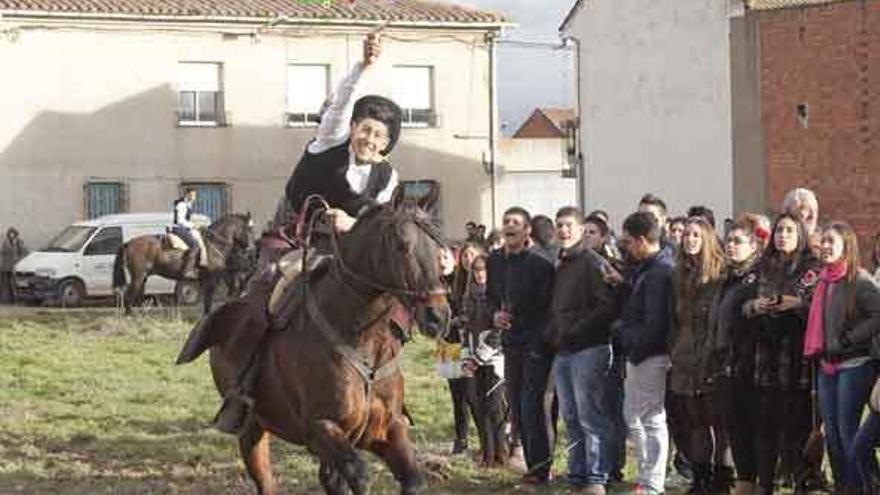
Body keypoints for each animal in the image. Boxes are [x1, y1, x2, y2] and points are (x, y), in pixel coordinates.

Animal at [111, 212, 253, 314]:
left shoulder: (206, 280)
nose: (251, 248)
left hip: (142, 279)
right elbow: (208, 303)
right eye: (249, 229)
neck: (214, 244)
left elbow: (207, 302)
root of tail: (129, 243)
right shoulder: (211, 279)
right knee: (128, 298)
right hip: (138, 277)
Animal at [178, 199, 450, 495]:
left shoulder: (387, 428)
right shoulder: (320, 428)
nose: (438, 316)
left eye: (438, 246)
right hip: (253, 424)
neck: (363, 340)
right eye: (402, 245)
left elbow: (414, 480)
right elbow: (360, 476)